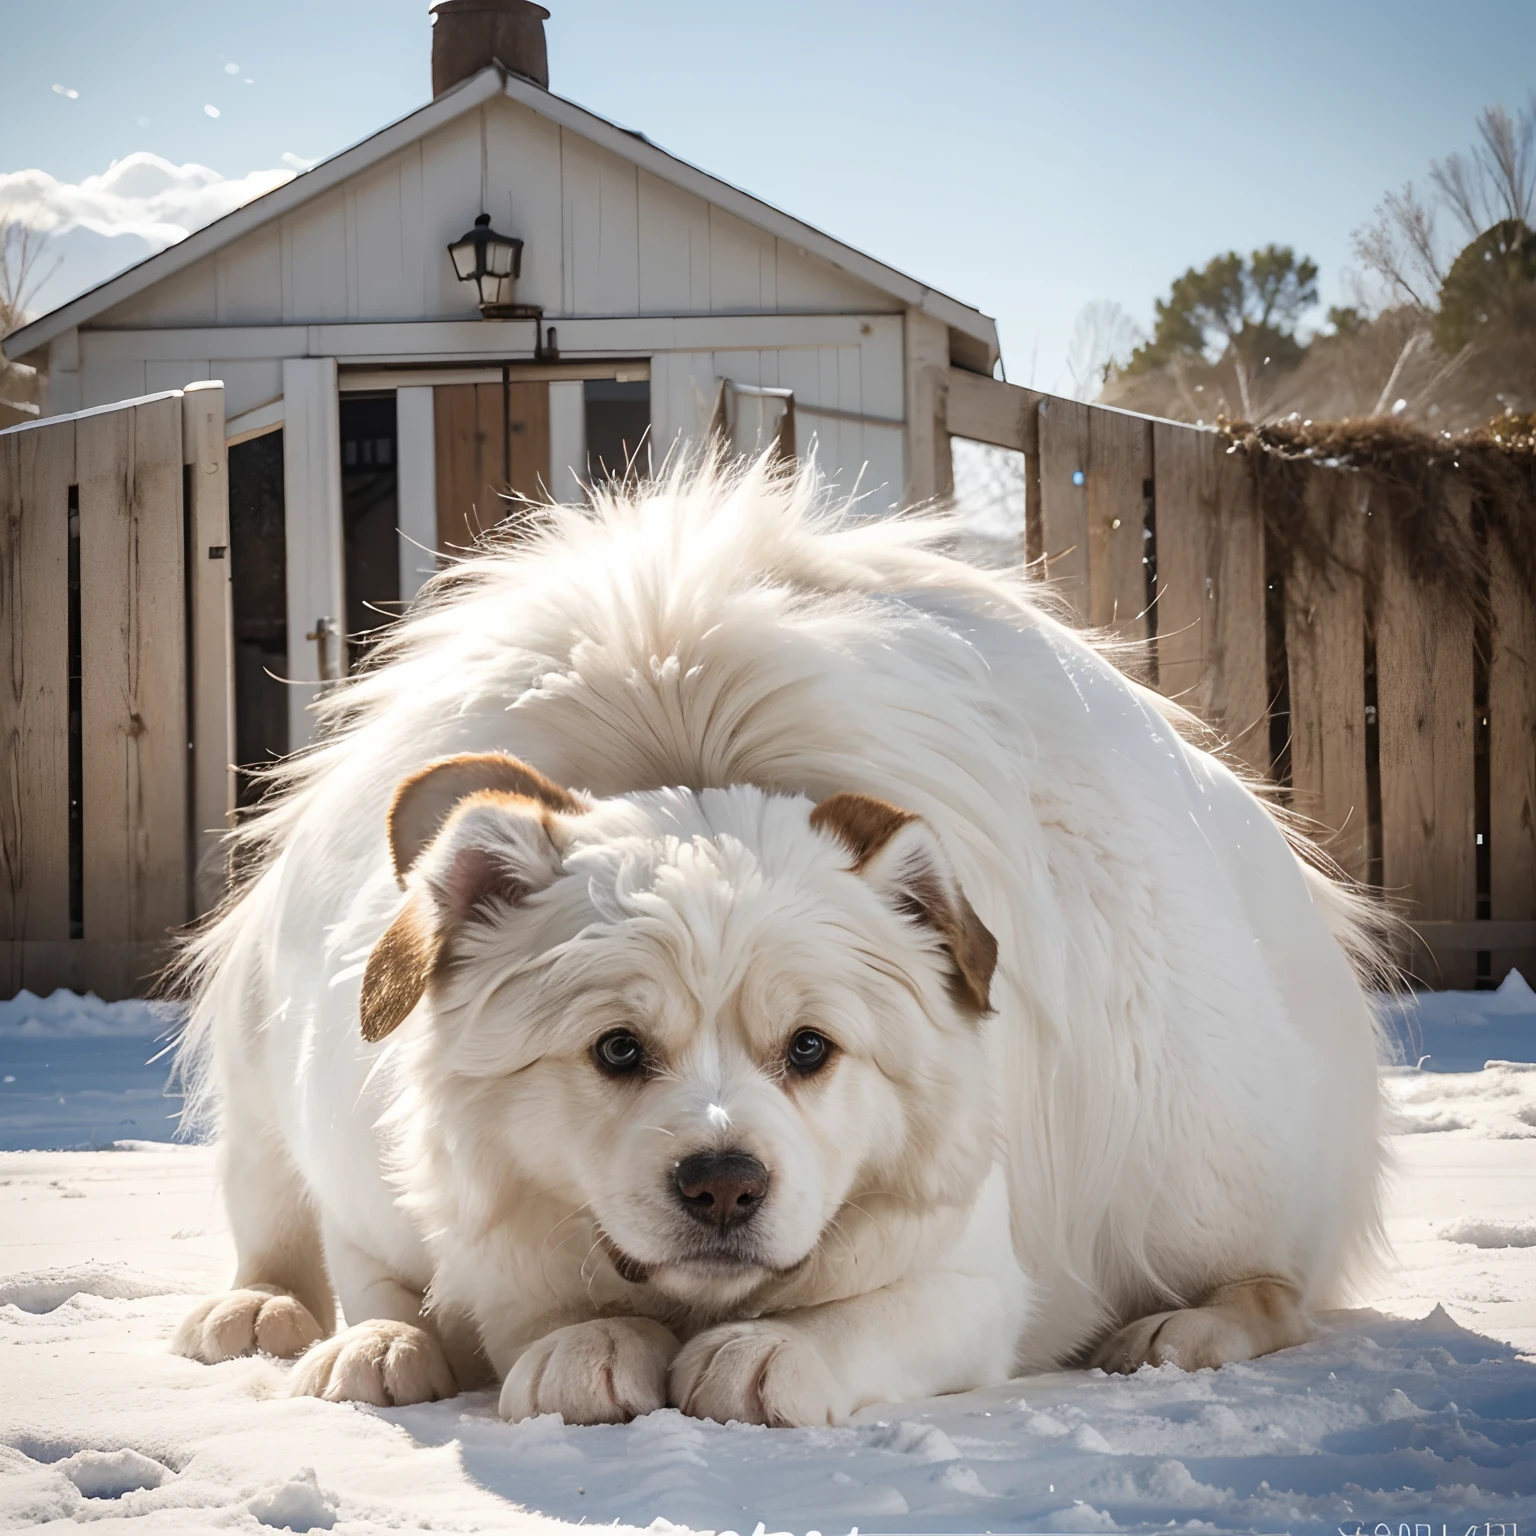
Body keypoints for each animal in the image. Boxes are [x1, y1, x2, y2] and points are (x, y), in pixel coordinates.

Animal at [174, 454, 1388, 1425]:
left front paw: (768, 1353)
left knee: (1272, 1284)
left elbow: (864, 1316)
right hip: (253, 1099)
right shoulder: (363, 1191)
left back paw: (1183, 1331)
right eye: (617, 1050)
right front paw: (407, 1344)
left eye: (811, 1049)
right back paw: (255, 1309)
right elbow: (393, 1289)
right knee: (268, 1233)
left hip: (1197, 1154)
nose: (723, 1183)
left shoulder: (970, 1278)